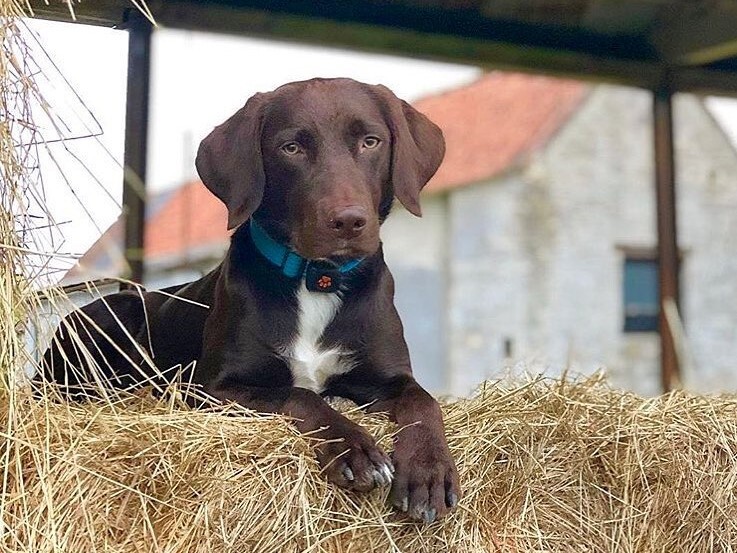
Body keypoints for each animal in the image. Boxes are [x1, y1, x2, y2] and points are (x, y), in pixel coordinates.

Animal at [40, 77, 460, 520]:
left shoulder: (390, 378)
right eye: (291, 148)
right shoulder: (213, 389)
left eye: (370, 141)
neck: (317, 280)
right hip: (109, 312)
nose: (348, 221)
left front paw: (429, 470)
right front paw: (354, 448)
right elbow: (298, 394)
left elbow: (423, 402)